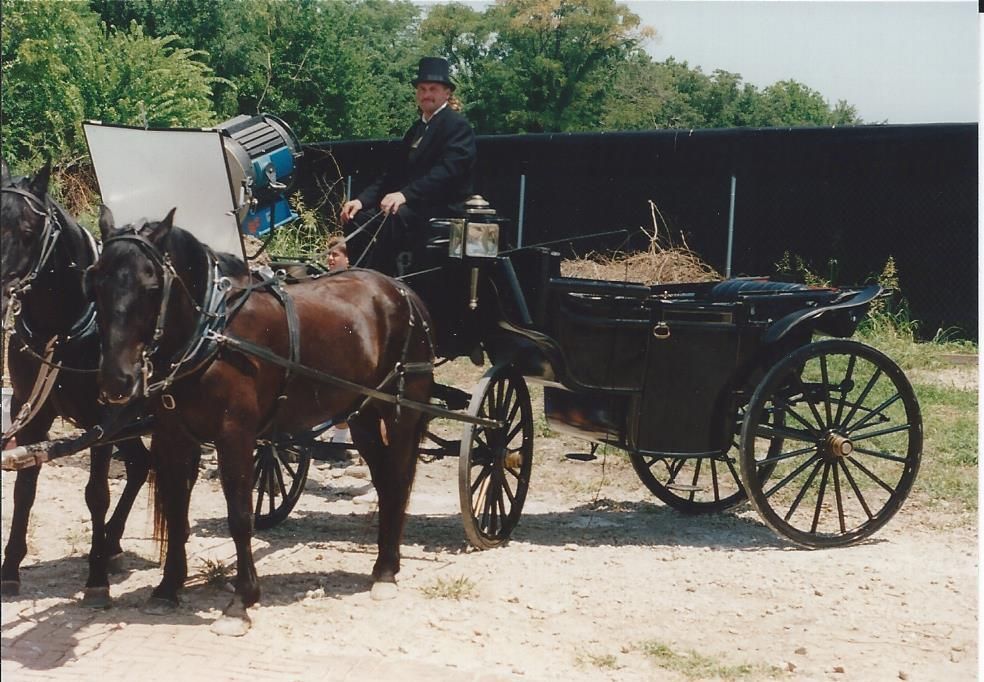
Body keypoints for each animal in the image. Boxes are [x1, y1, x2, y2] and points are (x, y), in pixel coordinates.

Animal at [0, 160, 151, 604]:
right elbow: (24, 487)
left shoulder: (101, 417)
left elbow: (96, 494)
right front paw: (10, 569)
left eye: (29, 230)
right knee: (141, 464)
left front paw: (96, 579)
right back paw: (113, 543)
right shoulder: (28, 409)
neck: (62, 331)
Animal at [86, 206, 435, 635]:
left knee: (398, 482)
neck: (214, 333)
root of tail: (401, 290)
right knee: (386, 484)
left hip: (402, 414)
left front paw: (240, 602)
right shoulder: (173, 436)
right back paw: (386, 565)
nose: (116, 380)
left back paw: (386, 571)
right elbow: (178, 511)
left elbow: (240, 517)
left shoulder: (235, 435)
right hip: (364, 417)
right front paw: (168, 589)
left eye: (151, 285)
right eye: (95, 281)